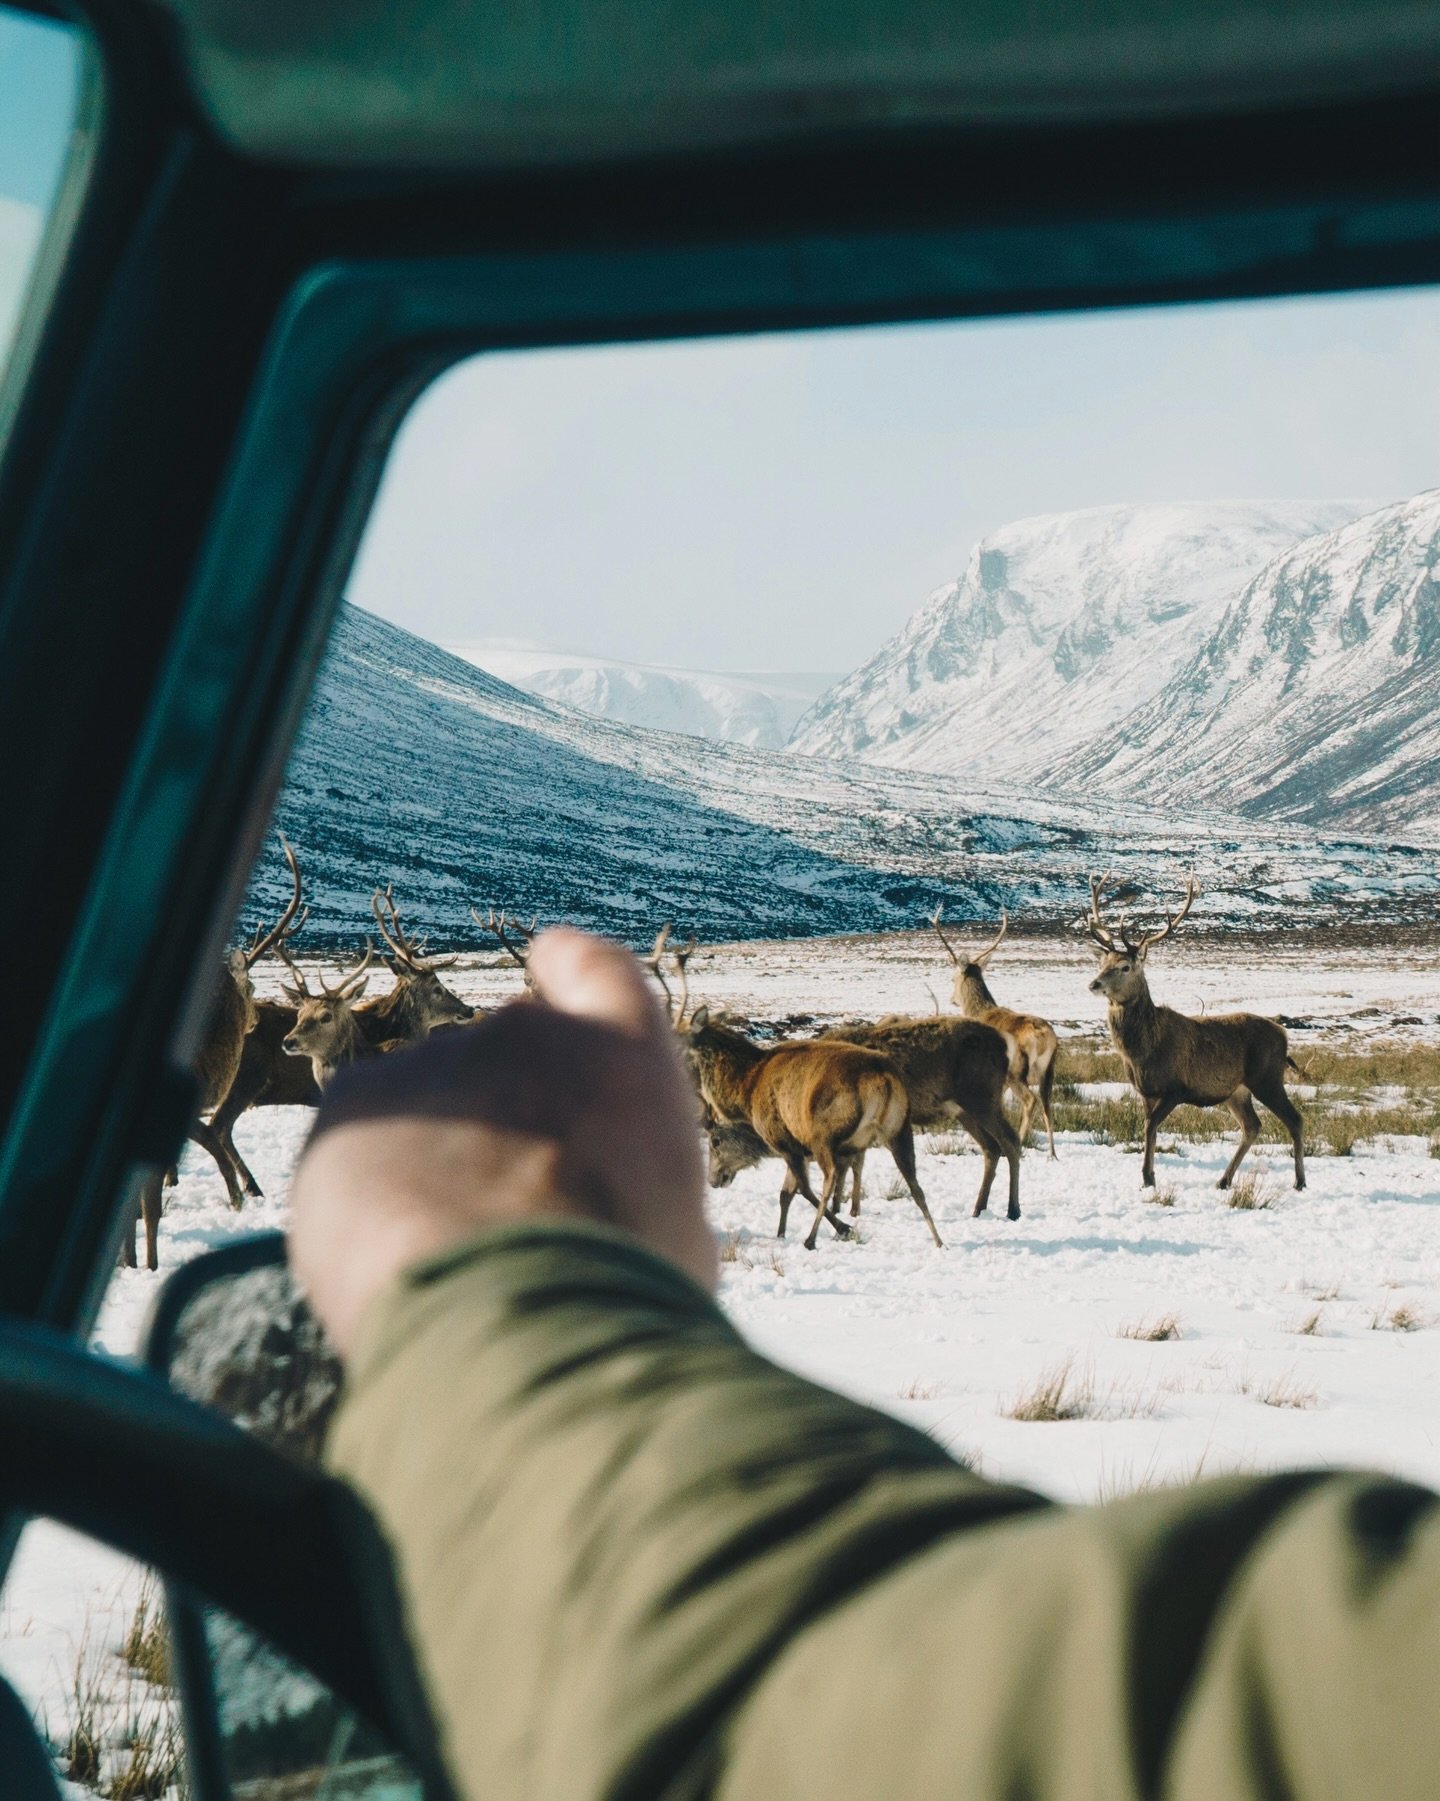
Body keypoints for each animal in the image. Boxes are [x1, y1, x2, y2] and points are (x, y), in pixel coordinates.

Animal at [931, 906, 1060, 1159]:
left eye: (952, 978)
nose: (952, 999)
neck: (980, 1011)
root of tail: (1043, 1038)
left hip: (1016, 1071)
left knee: (1030, 1100)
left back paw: (1019, 1145)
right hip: (1048, 1070)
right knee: (1047, 1101)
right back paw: (1052, 1154)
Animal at [1082, 874, 1306, 1192]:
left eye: (1124, 966)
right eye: (1102, 963)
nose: (1094, 984)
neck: (1142, 1052)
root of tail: (1284, 1035)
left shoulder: (1176, 1087)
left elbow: (1151, 1127)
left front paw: (1147, 1177)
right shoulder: (1145, 1091)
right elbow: (1148, 1128)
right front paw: (1148, 1177)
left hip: (1267, 1077)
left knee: (1295, 1119)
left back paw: (1299, 1181)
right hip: (1236, 1091)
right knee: (1252, 1126)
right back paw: (1223, 1179)